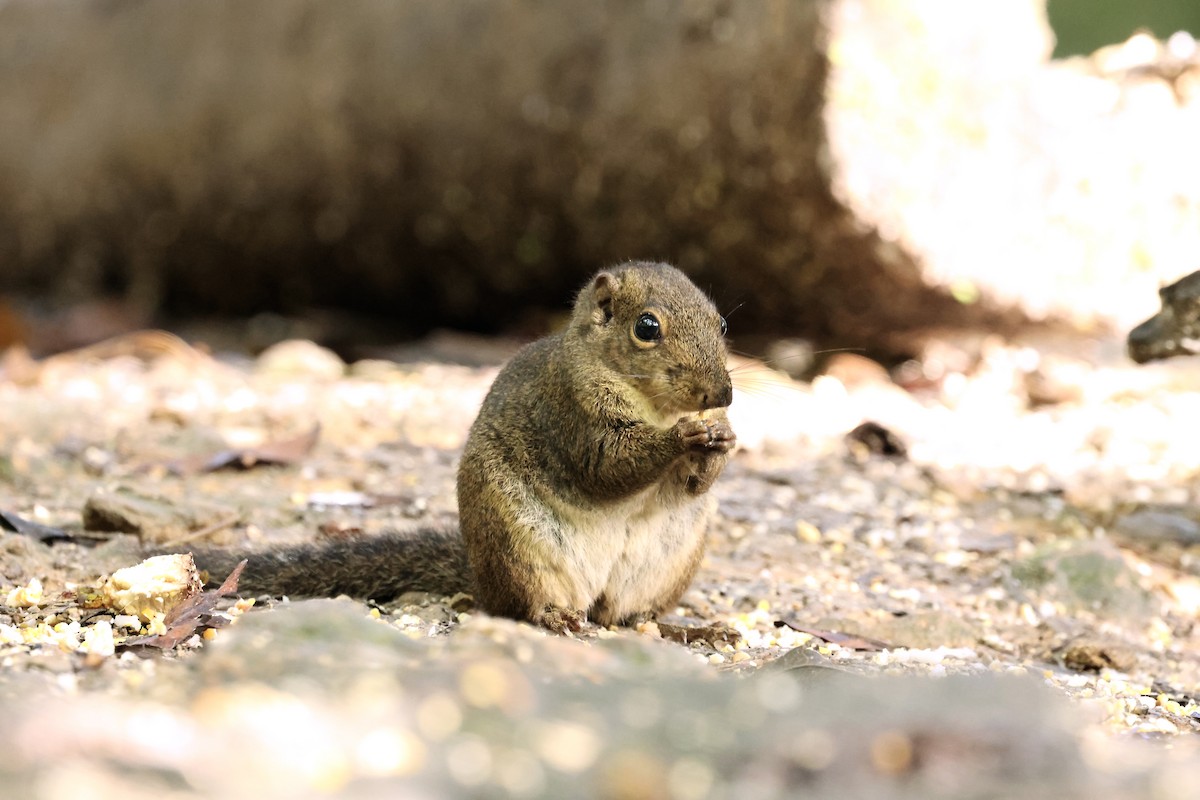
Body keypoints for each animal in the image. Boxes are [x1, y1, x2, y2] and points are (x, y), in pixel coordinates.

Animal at [190, 261, 736, 632]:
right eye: (646, 327)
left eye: (722, 324)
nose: (723, 395)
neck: (653, 404)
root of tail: (479, 574)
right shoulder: (570, 411)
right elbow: (606, 464)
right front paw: (685, 437)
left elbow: (691, 483)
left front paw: (722, 440)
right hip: (519, 548)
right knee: (523, 607)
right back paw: (554, 616)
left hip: (667, 564)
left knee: (625, 617)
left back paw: (685, 630)